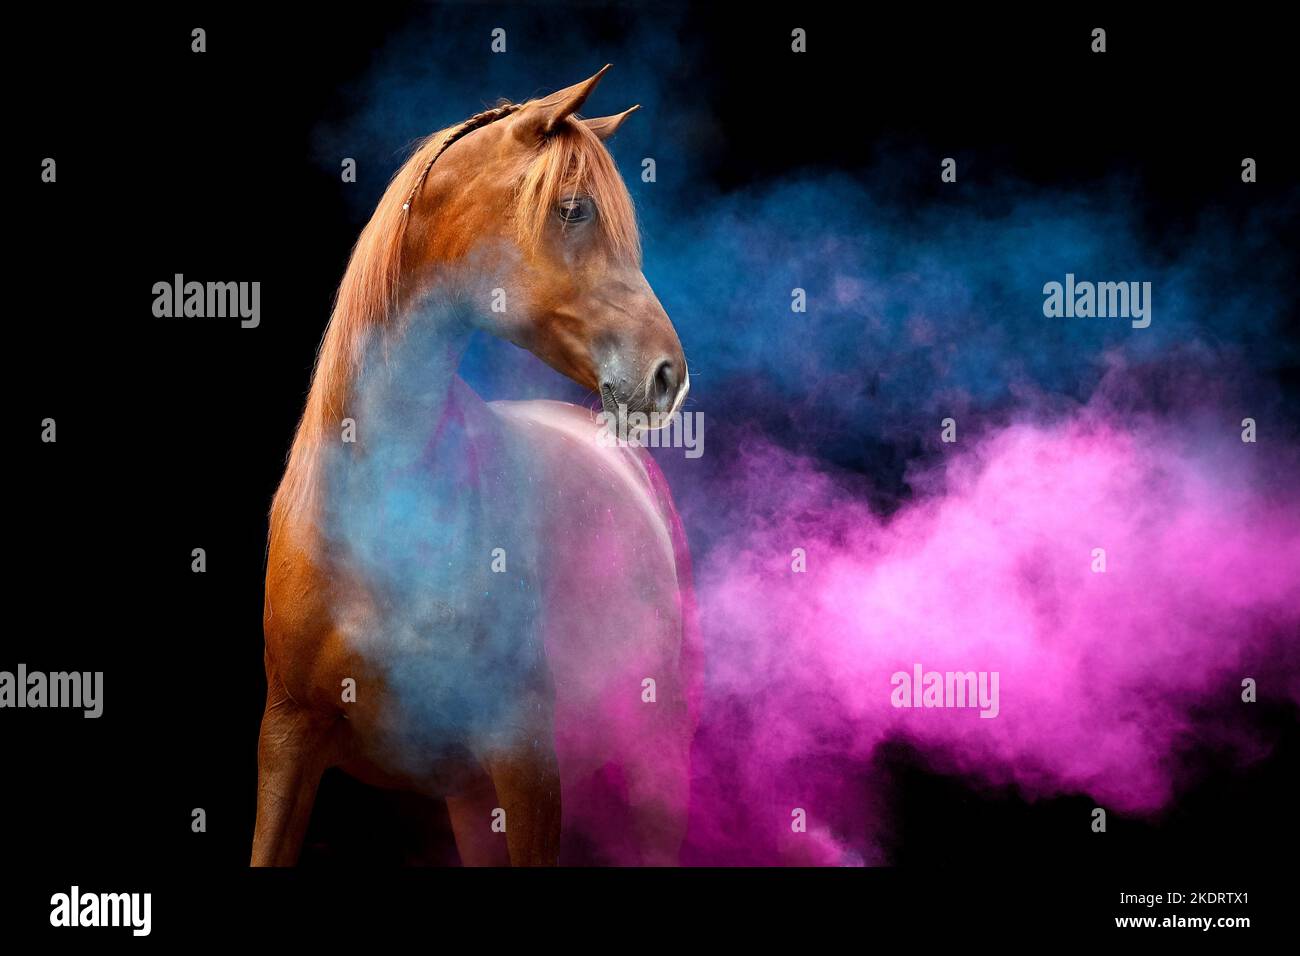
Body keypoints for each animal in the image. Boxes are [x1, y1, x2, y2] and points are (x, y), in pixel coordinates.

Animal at [252, 65, 697, 867]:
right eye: (573, 210)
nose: (667, 377)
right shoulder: (287, 739)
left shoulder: (524, 756)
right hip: (466, 796)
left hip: (658, 757)